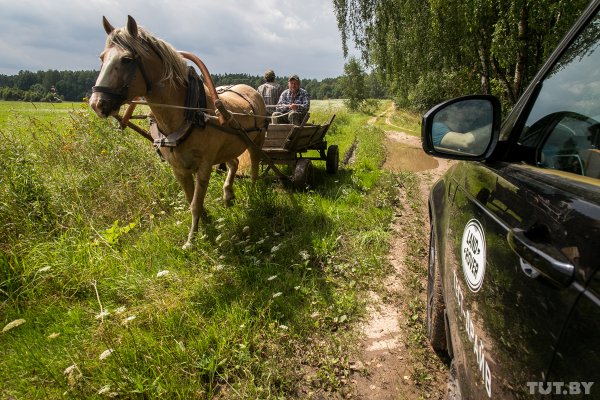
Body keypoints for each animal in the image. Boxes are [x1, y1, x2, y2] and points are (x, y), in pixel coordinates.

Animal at [89, 15, 268, 248]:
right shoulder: (178, 168)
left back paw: (254, 192)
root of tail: (251, 90)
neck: (186, 114)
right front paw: (204, 224)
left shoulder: (204, 166)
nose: (97, 104)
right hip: (230, 145)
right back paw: (228, 195)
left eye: (126, 59)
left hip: (256, 140)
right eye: (102, 58)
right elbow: (191, 199)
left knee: (254, 165)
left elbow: (195, 202)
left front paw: (191, 240)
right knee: (234, 163)